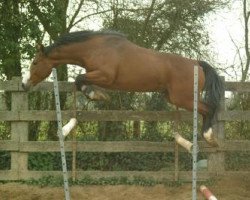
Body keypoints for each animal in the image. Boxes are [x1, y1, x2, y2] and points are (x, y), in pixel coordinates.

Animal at [22, 30, 224, 145]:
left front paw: (96, 95)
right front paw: (96, 95)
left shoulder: (105, 76)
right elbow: (79, 82)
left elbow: (79, 80)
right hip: (173, 96)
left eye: (35, 62)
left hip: (183, 98)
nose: (24, 85)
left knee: (208, 109)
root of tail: (197, 63)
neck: (95, 48)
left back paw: (209, 137)